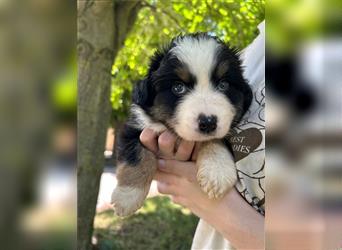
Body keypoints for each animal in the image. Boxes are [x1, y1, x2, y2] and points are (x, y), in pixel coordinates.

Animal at [111, 33, 252, 217]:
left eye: (224, 85)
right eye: (178, 87)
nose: (208, 123)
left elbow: (217, 140)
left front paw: (217, 172)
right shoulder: (135, 127)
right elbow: (137, 157)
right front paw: (127, 197)